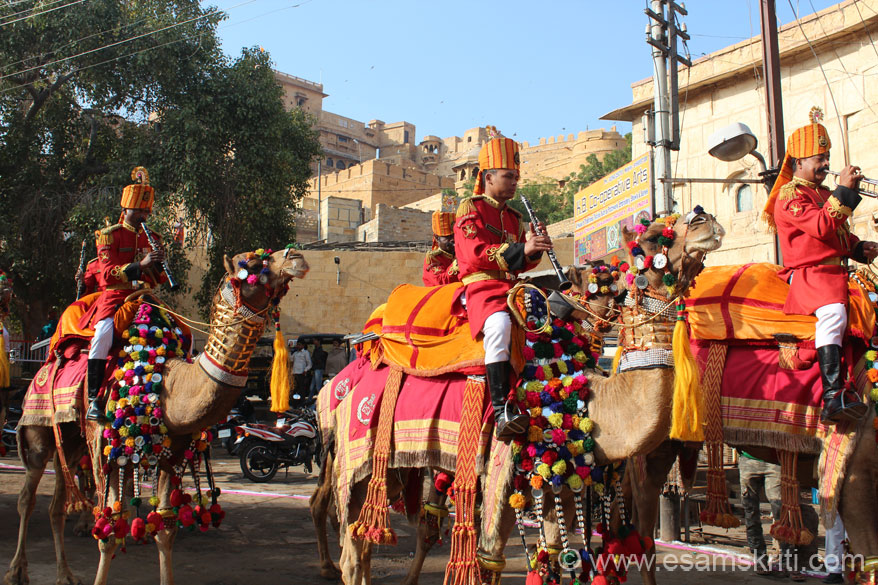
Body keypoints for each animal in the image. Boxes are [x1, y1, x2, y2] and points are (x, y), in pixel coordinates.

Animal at [5, 249, 310, 584]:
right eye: (254, 265)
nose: (296, 256)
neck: (164, 381)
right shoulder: (107, 451)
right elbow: (110, 530)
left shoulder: (171, 456)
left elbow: (165, 528)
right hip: (39, 432)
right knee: (27, 497)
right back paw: (16, 570)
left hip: (71, 439)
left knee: (58, 502)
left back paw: (65, 574)